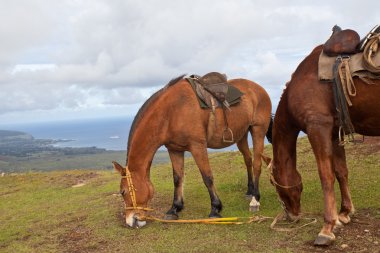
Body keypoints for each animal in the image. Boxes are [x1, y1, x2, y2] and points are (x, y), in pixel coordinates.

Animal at [111, 74, 272, 227]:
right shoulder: (174, 149)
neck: (171, 112)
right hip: (241, 135)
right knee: (248, 159)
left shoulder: (197, 146)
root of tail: (259, 89)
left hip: (257, 130)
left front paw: (215, 208)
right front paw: (175, 208)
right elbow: (177, 178)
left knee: (257, 163)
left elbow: (207, 177)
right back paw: (250, 191)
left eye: (123, 192)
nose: (130, 221)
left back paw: (255, 199)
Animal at [268, 45, 380, 245]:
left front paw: (327, 227)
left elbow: (326, 176)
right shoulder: (335, 134)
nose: (290, 216)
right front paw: (344, 213)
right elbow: (341, 172)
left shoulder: (318, 128)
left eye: (274, 183)